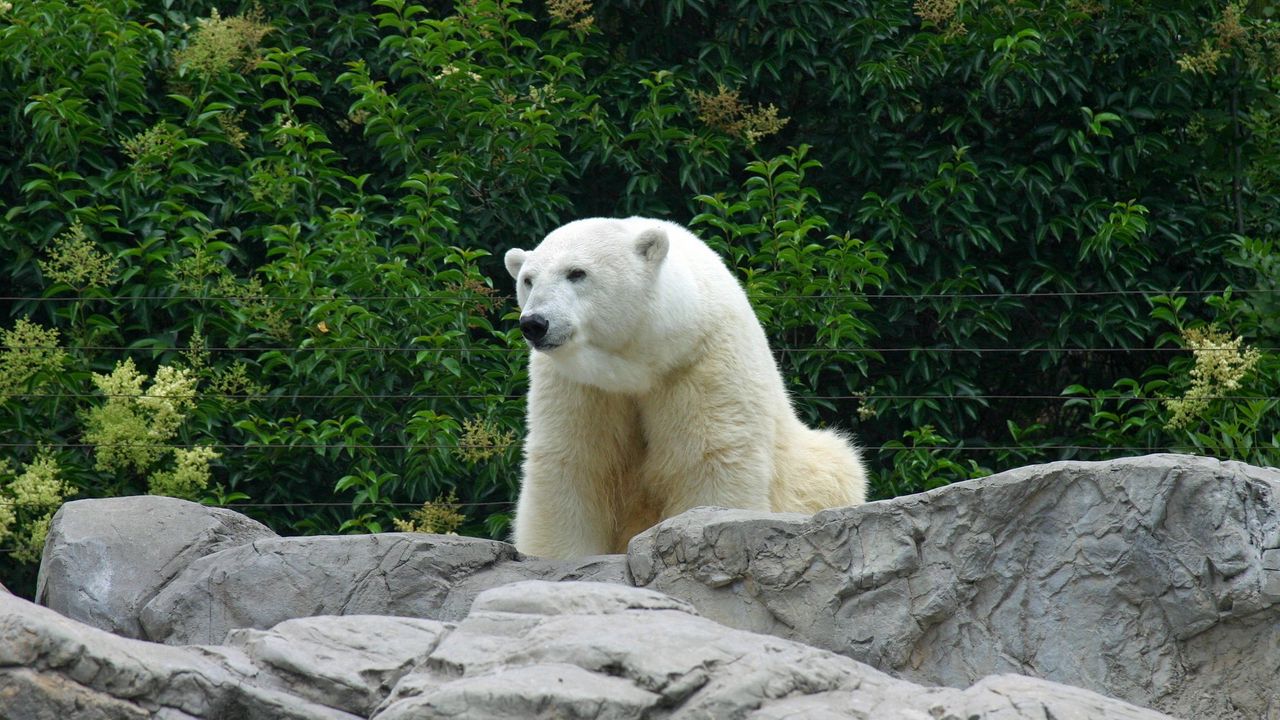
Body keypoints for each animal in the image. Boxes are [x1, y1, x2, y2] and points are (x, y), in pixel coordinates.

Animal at [504, 217, 865, 556]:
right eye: (528, 280)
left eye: (577, 273)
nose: (534, 323)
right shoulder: (578, 383)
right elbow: (575, 463)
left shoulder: (701, 361)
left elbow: (708, 457)